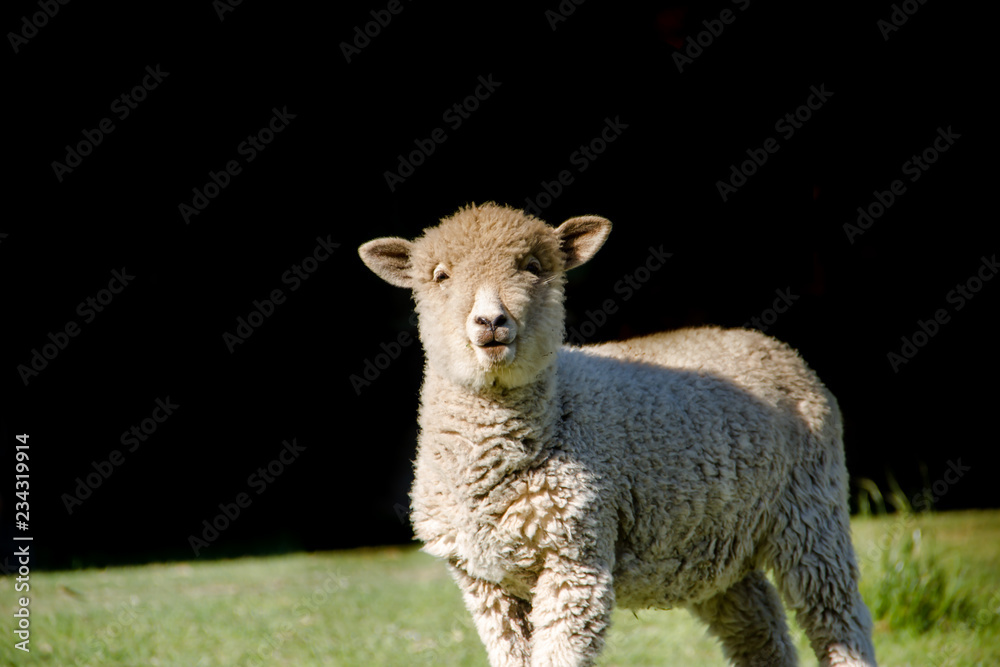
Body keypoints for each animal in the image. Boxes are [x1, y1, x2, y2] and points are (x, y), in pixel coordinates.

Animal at [358, 202, 877, 667]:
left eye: (533, 268)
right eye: (440, 276)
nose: (490, 322)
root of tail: (775, 346)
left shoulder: (577, 557)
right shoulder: (484, 581)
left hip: (812, 512)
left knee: (839, 620)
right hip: (718, 547)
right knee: (761, 630)